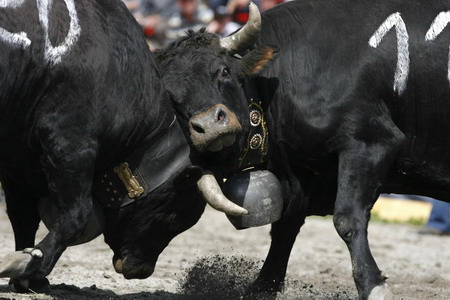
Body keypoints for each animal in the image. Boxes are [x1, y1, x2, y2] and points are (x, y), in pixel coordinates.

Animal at [0, 0, 243, 292]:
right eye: (175, 216)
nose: (139, 270)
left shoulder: (17, 161)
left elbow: (23, 217)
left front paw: (29, 275)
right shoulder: (69, 143)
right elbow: (76, 216)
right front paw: (29, 263)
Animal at [154, 0, 450, 300]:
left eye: (224, 71)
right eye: (171, 97)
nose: (209, 124)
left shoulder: (370, 142)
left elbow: (347, 219)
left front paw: (373, 286)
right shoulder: (302, 172)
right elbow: (285, 227)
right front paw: (261, 287)